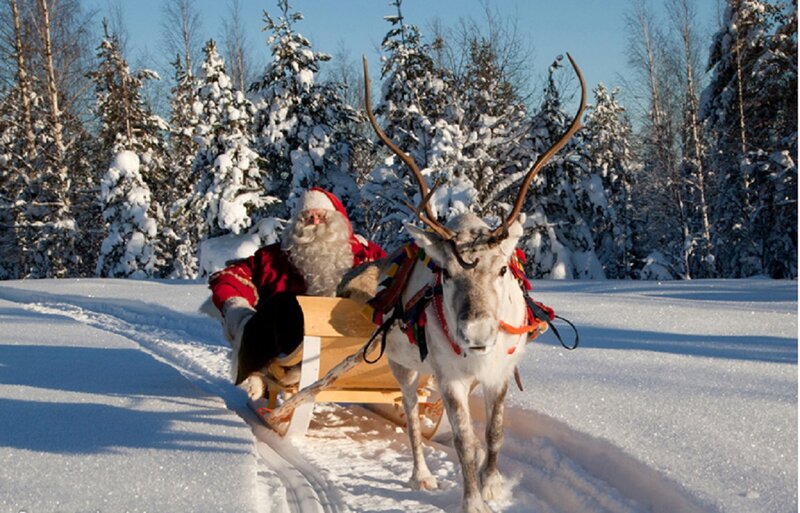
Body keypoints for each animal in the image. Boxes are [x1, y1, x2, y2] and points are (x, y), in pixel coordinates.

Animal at [361, 54, 586, 513]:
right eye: (445, 272)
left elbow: (494, 432)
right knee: (410, 414)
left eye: (501, 269)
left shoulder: (499, 373)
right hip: (402, 367)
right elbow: (463, 441)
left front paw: (492, 482)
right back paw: (421, 475)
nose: (476, 332)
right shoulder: (450, 379)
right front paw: (473, 499)